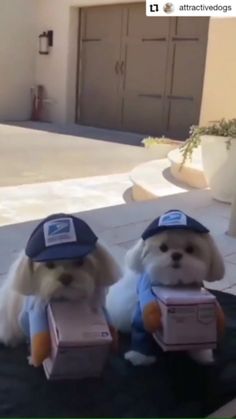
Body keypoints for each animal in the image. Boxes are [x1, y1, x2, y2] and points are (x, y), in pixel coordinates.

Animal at [106, 210, 225, 368]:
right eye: (163, 248)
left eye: (190, 249)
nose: (176, 255)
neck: (175, 284)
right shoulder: (144, 302)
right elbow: (142, 330)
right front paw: (140, 358)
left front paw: (202, 354)